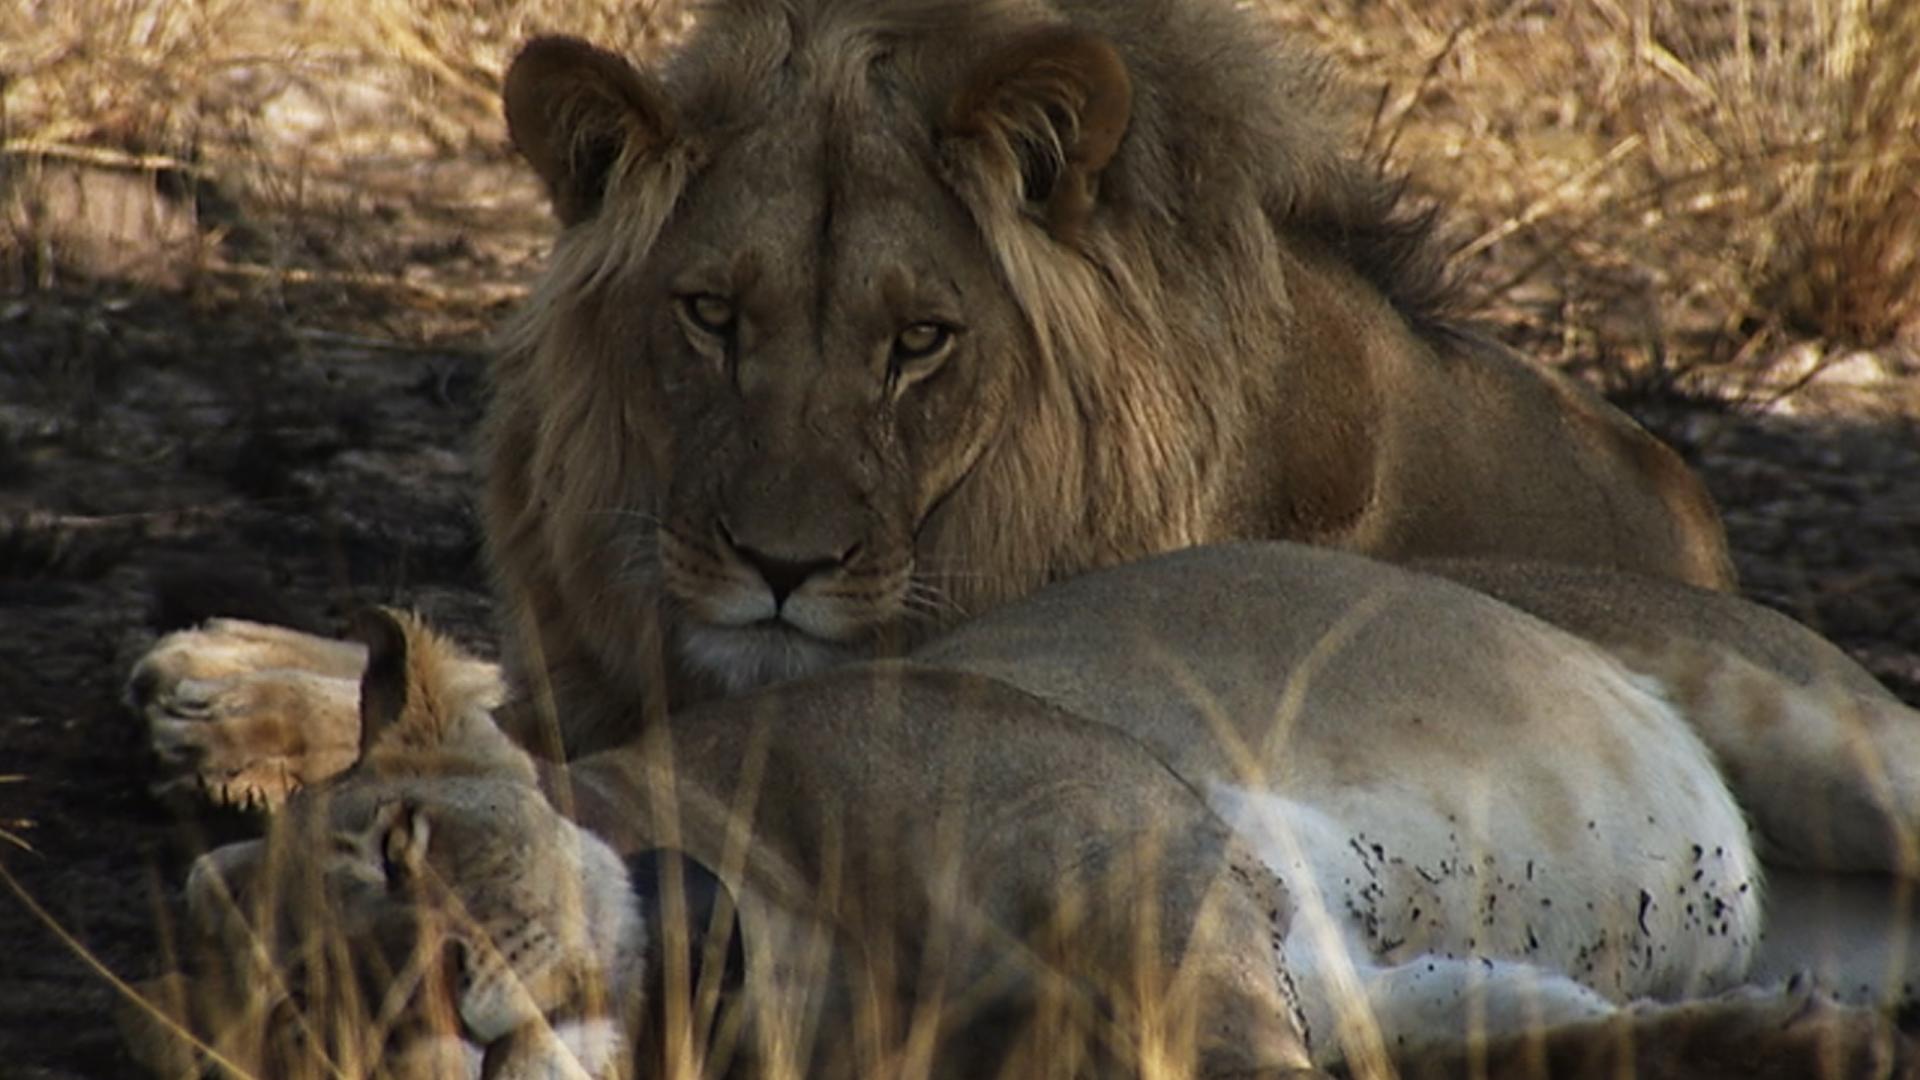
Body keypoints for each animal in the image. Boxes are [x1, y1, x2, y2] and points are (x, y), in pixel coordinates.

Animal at [124, 545, 1916, 1079]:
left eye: (398, 849)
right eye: (293, 1025)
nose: (436, 1012)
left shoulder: (1158, 870)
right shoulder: (1357, 986)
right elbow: (1550, 1043)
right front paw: (1786, 1041)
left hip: (1844, 743)